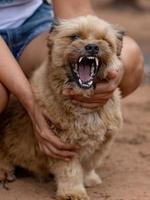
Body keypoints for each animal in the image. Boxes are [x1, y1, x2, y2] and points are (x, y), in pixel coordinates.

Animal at [0, 16, 123, 200]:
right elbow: (70, 172)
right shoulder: (63, 145)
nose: (92, 47)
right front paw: (73, 192)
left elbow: (89, 164)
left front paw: (89, 178)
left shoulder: (103, 142)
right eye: (75, 37)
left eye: (104, 39)